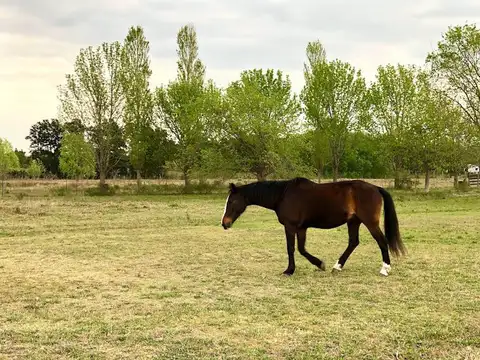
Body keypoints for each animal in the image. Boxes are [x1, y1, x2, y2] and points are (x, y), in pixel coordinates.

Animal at [220, 177, 404, 276]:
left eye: (232, 201)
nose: (224, 223)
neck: (283, 195)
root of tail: (376, 188)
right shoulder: (301, 228)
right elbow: (302, 249)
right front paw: (320, 264)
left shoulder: (290, 226)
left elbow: (291, 248)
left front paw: (289, 270)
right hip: (353, 221)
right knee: (353, 242)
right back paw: (337, 266)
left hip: (369, 222)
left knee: (382, 241)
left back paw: (385, 268)